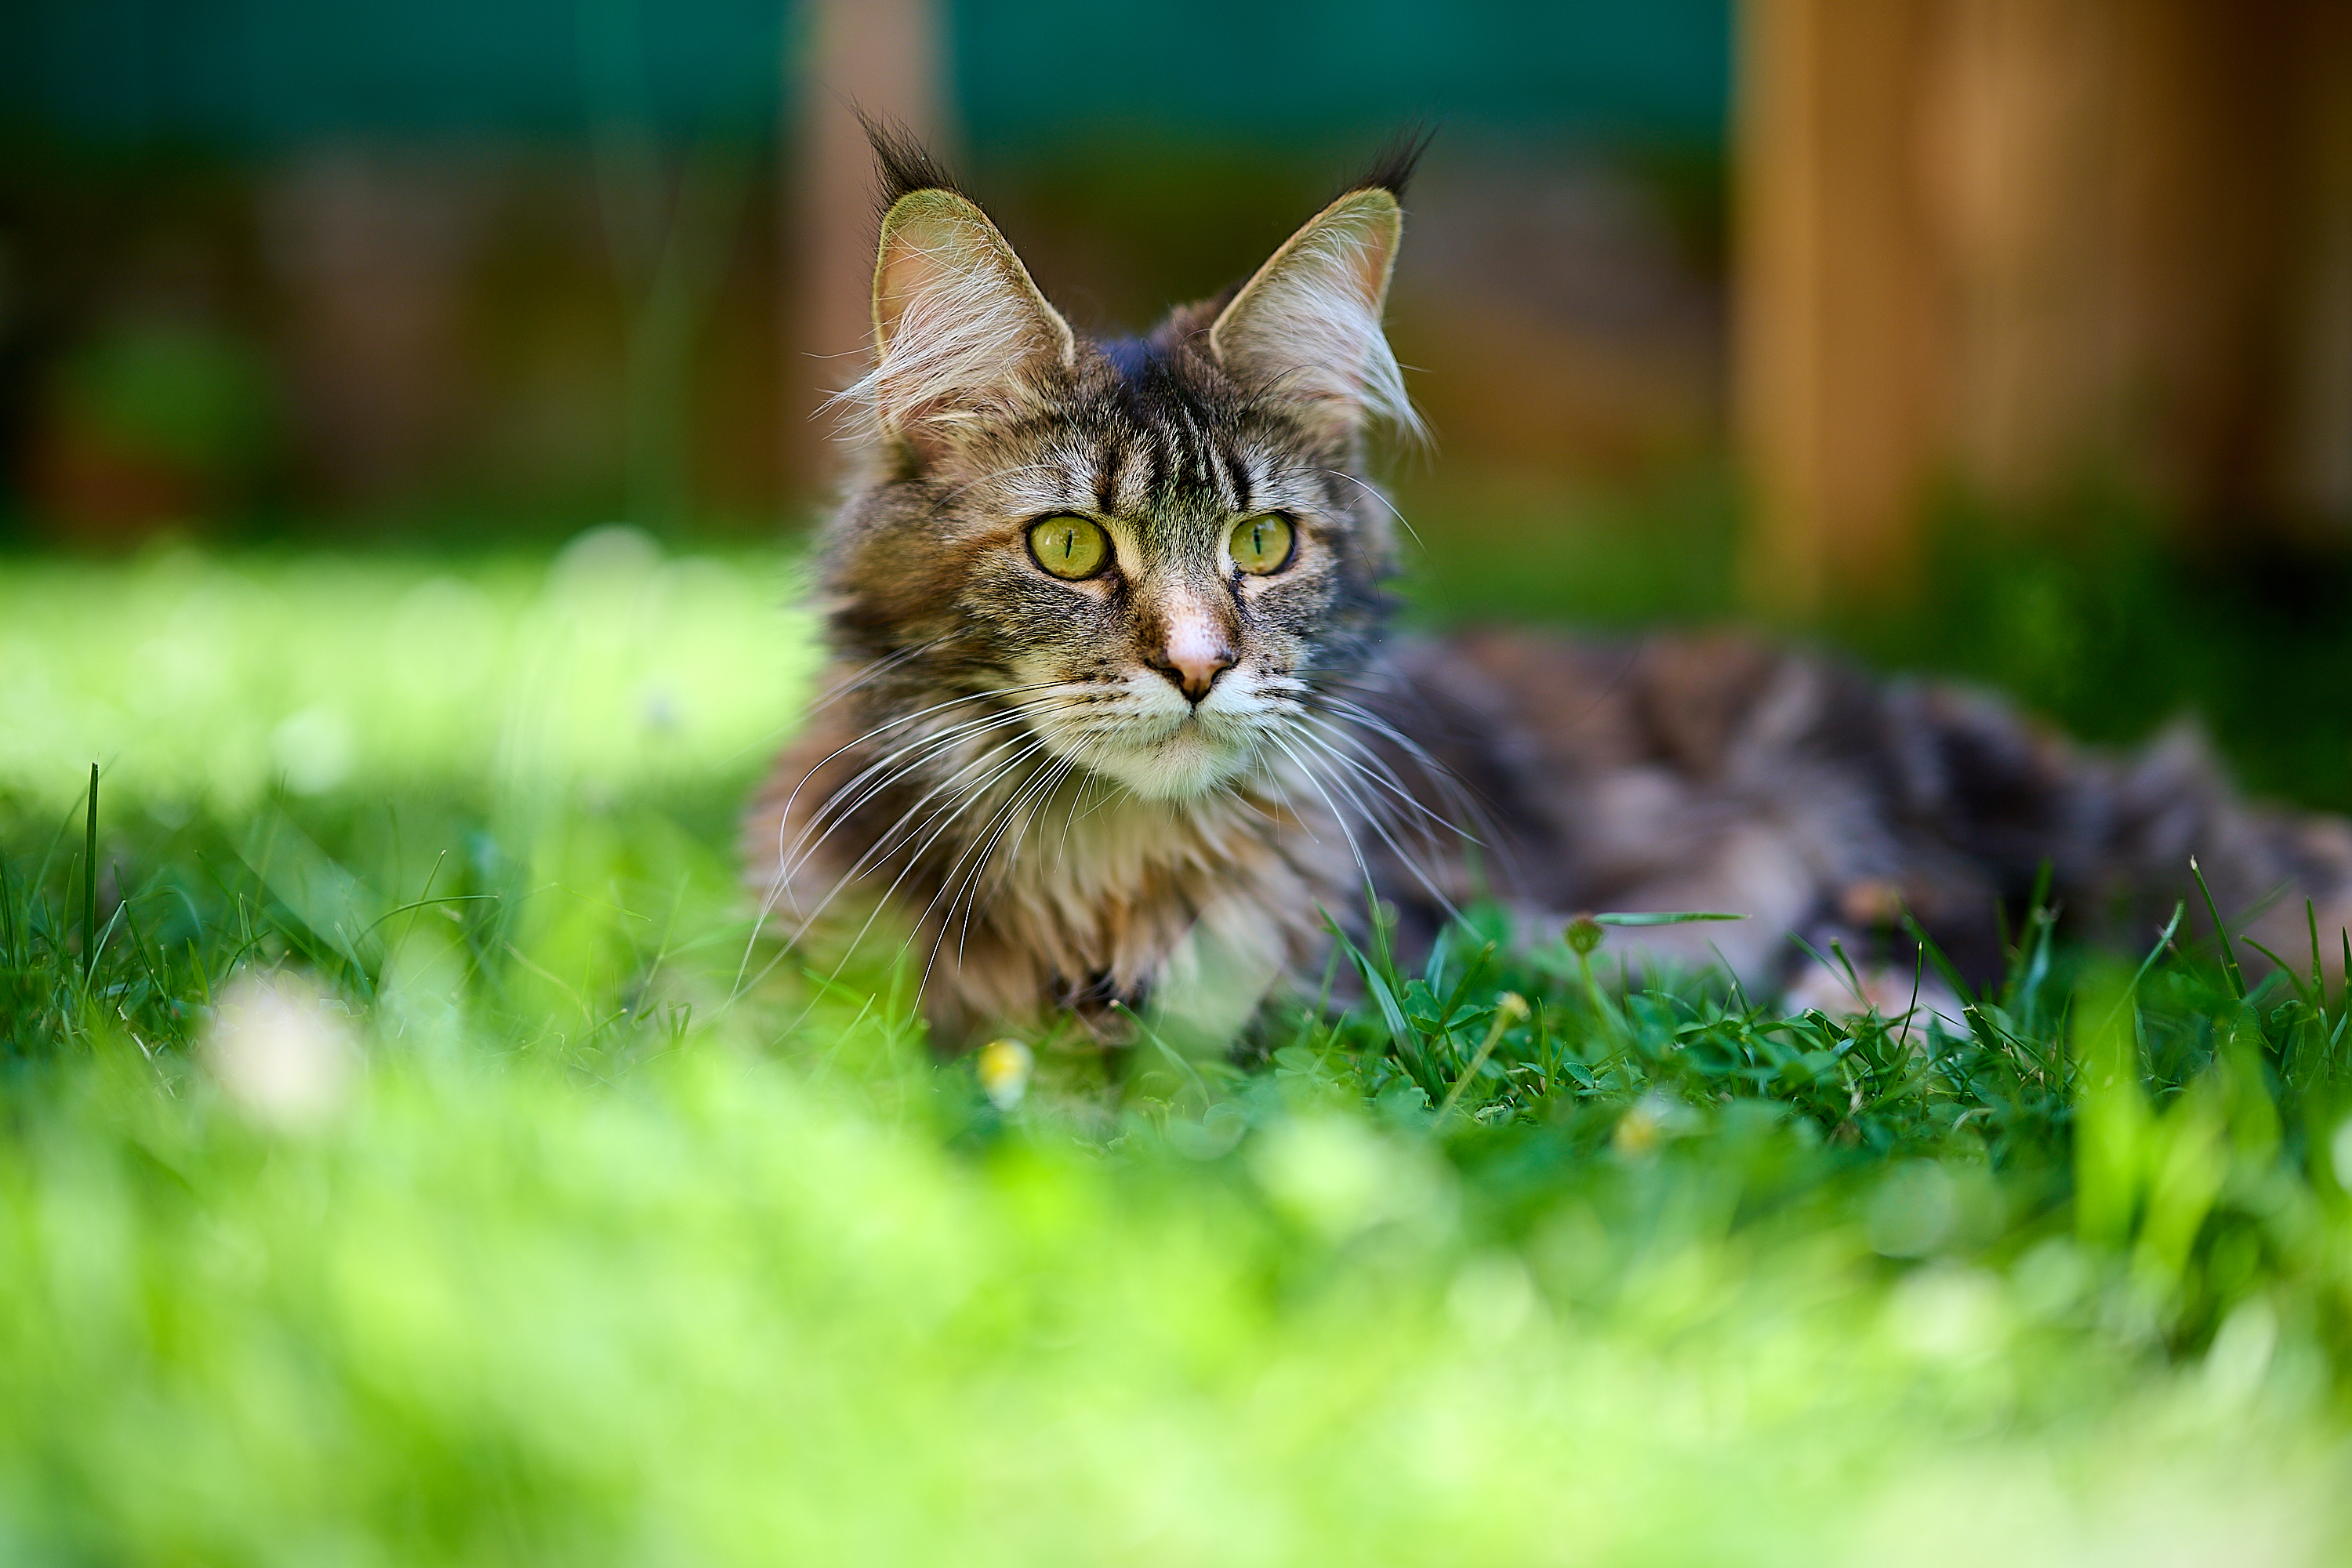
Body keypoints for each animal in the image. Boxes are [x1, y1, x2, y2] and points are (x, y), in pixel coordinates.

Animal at [748, 129, 2352, 1048]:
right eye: (1073, 549)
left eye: (1263, 546)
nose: (1201, 668)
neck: (1092, 878)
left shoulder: (1346, 965)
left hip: (1938, 797)